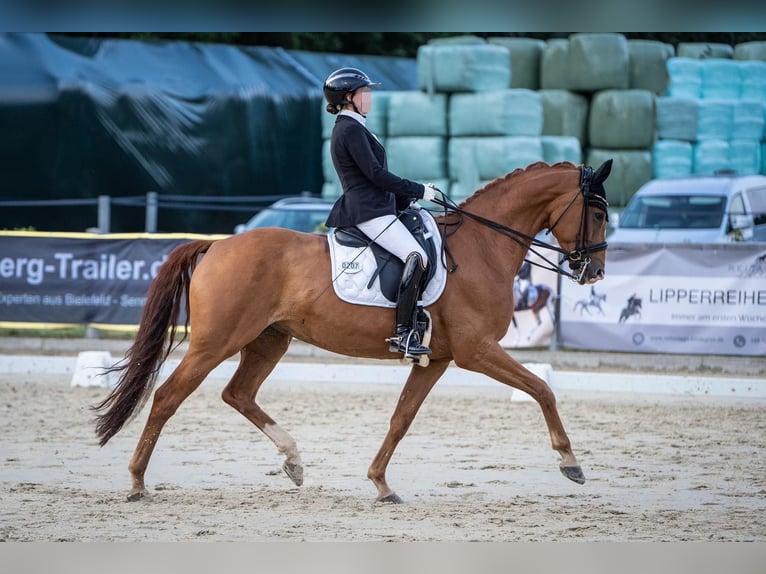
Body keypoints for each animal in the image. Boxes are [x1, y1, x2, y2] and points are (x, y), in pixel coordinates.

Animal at [94, 159, 612, 504]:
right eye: (599, 214)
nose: (595, 273)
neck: (483, 246)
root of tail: (217, 246)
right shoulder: (477, 350)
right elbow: (542, 389)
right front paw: (571, 463)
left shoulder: (438, 358)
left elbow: (401, 418)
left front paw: (381, 484)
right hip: (215, 342)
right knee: (167, 398)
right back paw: (137, 482)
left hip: (268, 339)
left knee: (237, 394)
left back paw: (294, 461)